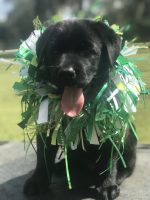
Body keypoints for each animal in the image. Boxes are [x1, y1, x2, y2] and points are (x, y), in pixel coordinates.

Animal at [23, 19, 137, 200]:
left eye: (88, 51)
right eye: (55, 51)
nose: (66, 72)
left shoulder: (111, 129)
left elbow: (110, 159)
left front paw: (108, 185)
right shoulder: (47, 125)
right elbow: (43, 156)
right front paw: (38, 181)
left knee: (128, 165)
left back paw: (118, 176)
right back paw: (61, 167)